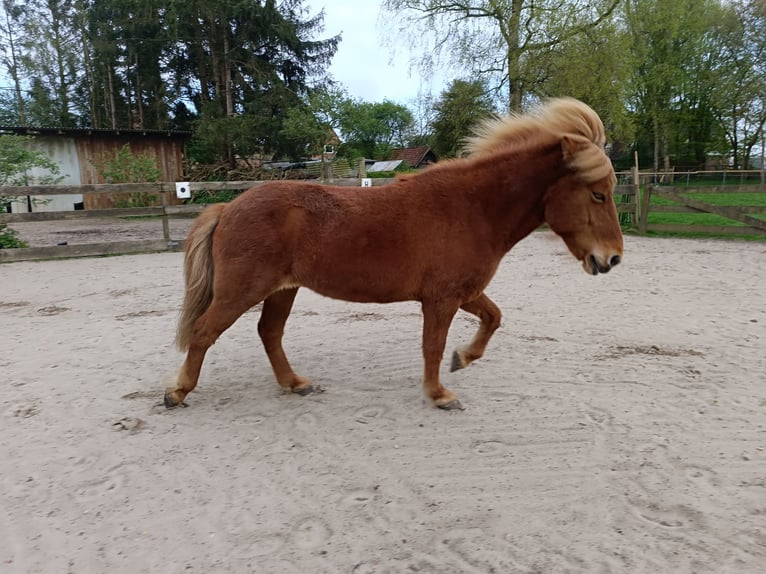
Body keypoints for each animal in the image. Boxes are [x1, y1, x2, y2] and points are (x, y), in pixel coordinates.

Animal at [164, 98, 623, 411]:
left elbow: (493, 319)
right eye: (598, 194)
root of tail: (229, 207)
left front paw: (463, 359)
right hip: (242, 291)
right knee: (204, 332)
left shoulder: (464, 292)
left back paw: (295, 383)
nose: (613, 259)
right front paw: (439, 394)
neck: (472, 207)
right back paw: (178, 392)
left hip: (282, 291)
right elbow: (432, 346)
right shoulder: (441, 300)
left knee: (269, 333)